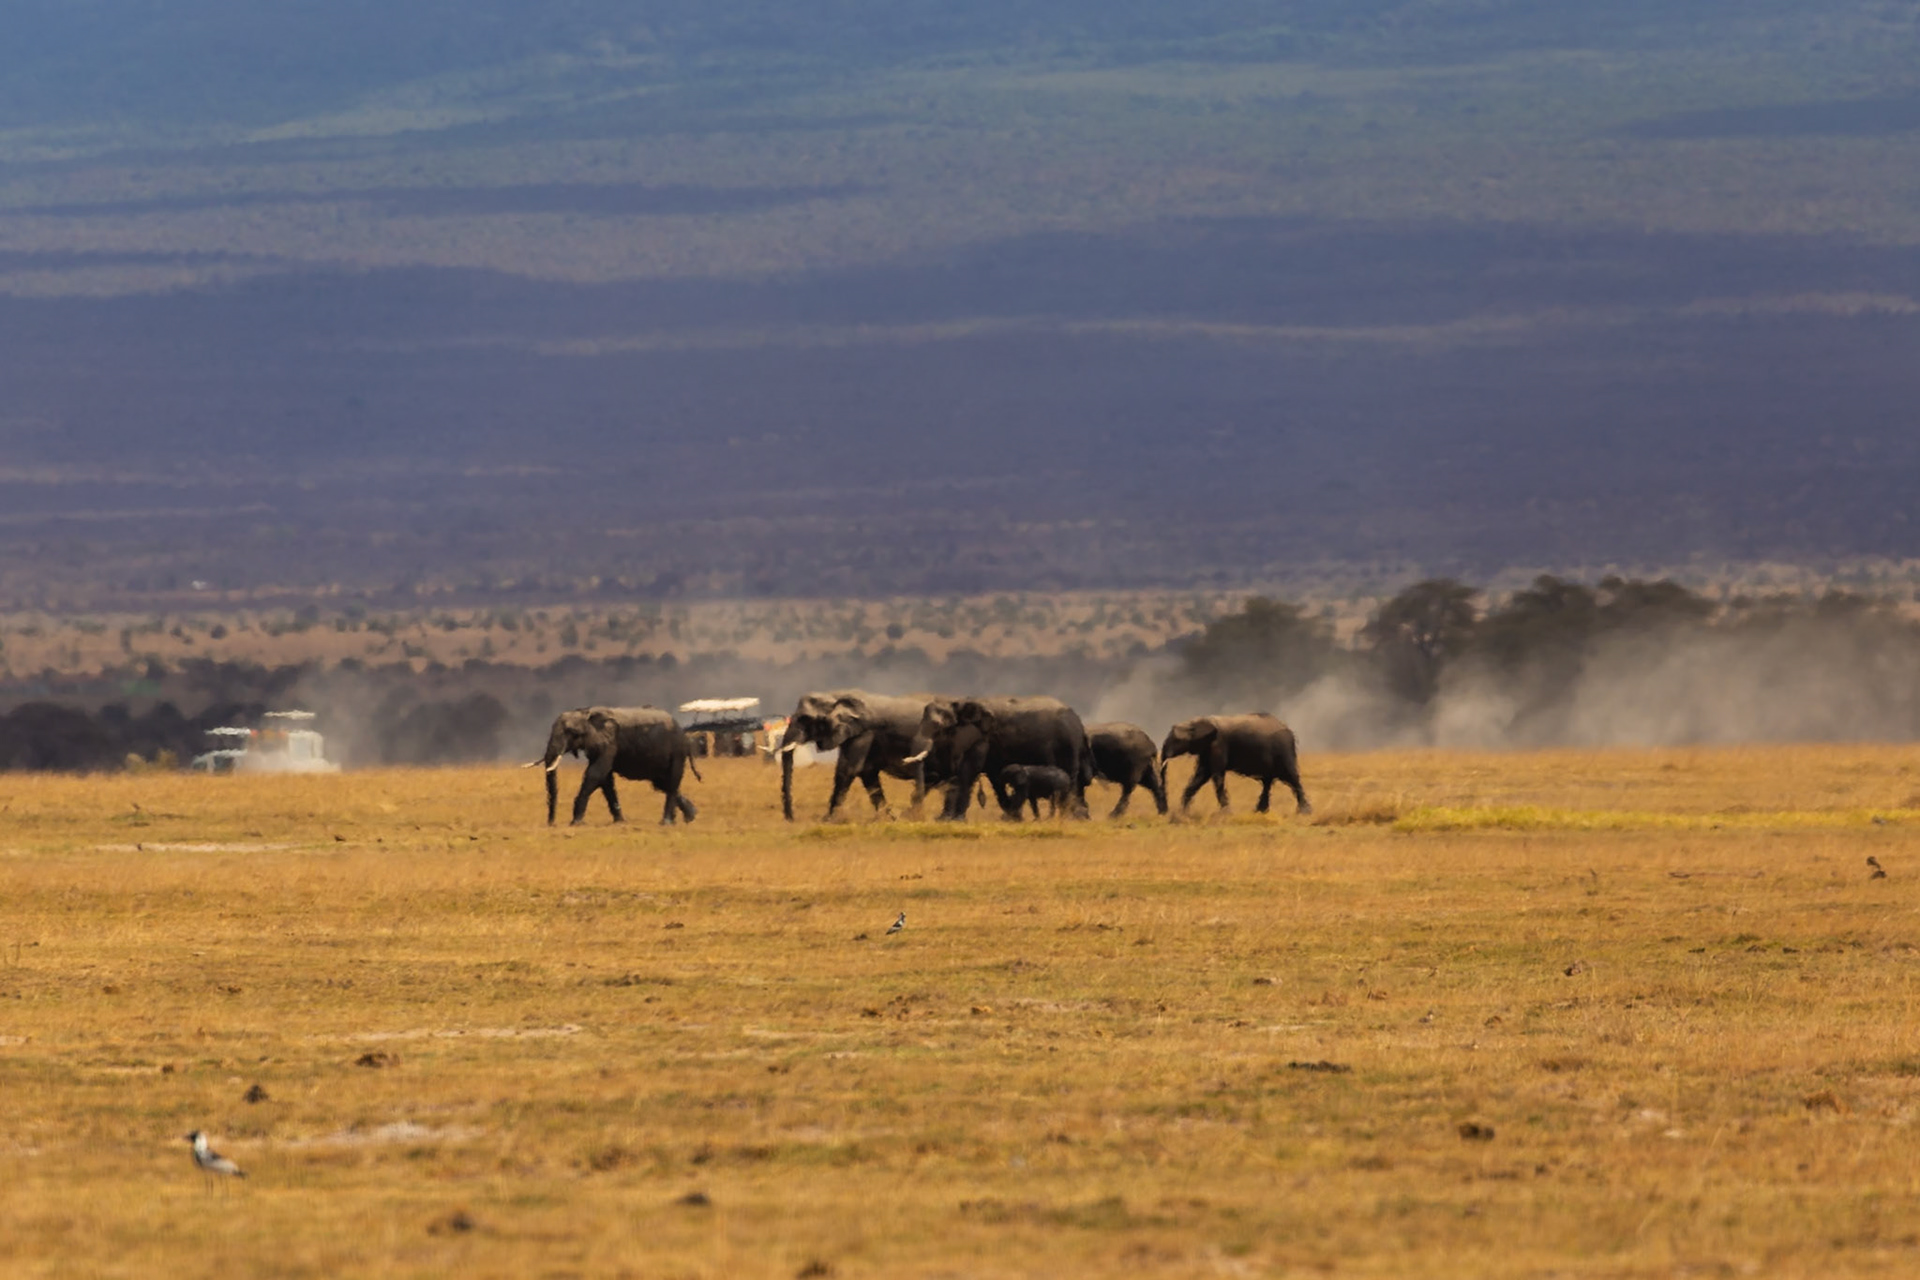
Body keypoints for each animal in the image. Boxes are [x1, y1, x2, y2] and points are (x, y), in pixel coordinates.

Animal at [529, 706, 701, 826]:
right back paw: (690, 816)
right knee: (662, 784)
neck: (587, 713)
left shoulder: (610, 742)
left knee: (671, 782)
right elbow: (605, 780)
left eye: (571, 732)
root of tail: (684, 735)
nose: (551, 823)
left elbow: (596, 773)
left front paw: (575, 823)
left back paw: (667, 822)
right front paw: (619, 821)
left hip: (677, 752)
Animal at [774, 690, 951, 821]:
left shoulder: (864, 732)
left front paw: (827, 820)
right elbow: (867, 773)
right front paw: (890, 818)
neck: (836, 695)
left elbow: (849, 770)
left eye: (805, 719)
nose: (791, 819)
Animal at [910, 696, 1092, 821]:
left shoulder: (982, 739)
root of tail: (1080, 723)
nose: (913, 815)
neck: (960, 702)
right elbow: (993, 778)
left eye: (938, 727)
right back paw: (1082, 817)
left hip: (1067, 744)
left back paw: (1073, 817)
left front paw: (954, 820)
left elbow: (967, 772)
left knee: (1072, 778)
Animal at [1161, 713, 1311, 816]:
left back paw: (1305, 812)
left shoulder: (1219, 745)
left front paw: (1226, 813)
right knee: (1267, 782)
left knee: (1292, 779)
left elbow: (1216, 776)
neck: (1197, 721)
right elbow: (1201, 776)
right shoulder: (1207, 750)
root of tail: (1290, 731)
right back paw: (1259, 812)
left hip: (1284, 751)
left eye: (1176, 740)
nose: (1166, 811)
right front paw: (1183, 812)